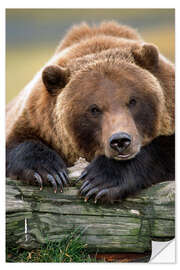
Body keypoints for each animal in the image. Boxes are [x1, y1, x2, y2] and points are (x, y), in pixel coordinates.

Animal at [5, 21, 174, 202]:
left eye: (133, 101)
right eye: (94, 109)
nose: (120, 141)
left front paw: (100, 181)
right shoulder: (36, 120)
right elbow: (18, 145)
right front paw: (49, 172)